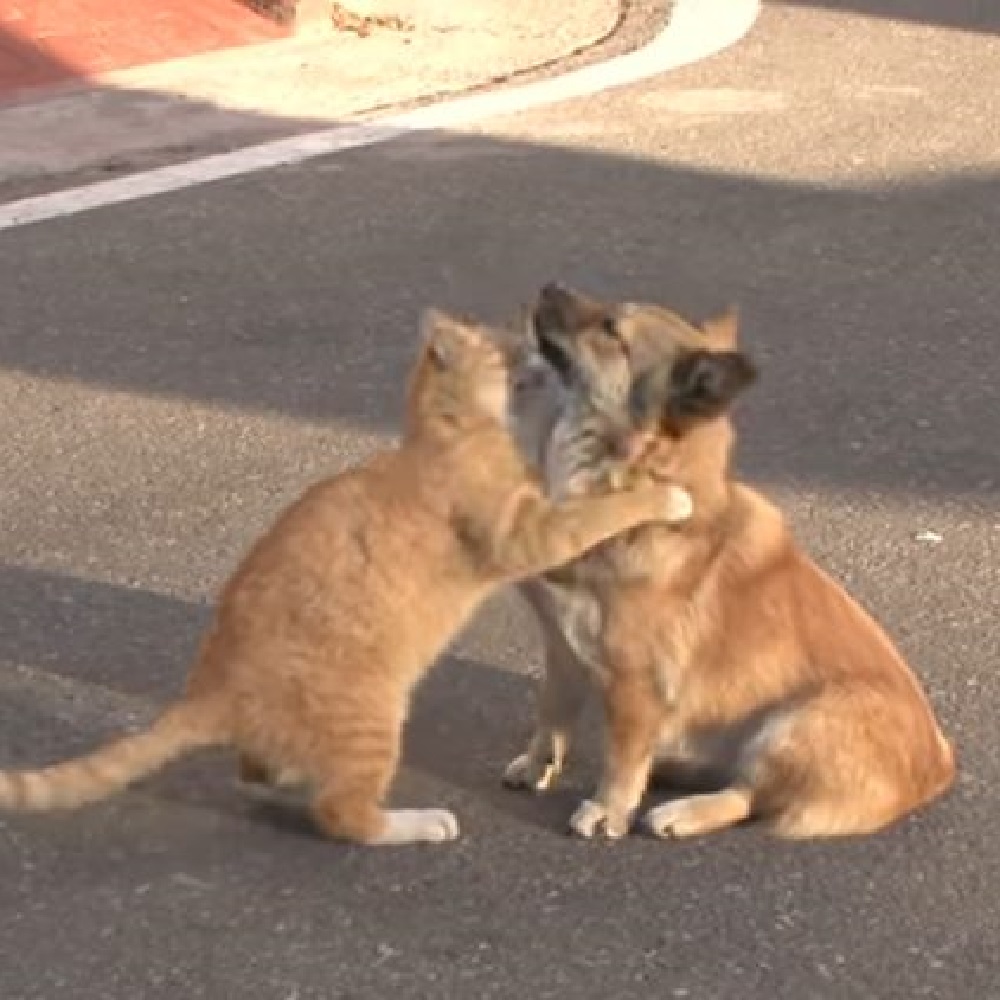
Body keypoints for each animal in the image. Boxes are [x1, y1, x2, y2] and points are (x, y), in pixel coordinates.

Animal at [0, 308, 692, 848]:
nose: (535, 348)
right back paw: (419, 823)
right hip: (375, 718)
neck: (446, 433)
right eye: (503, 348)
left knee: (263, 778)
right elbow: (598, 510)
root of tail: (209, 690)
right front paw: (662, 493)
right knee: (342, 814)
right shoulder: (529, 534)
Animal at [508, 286, 952, 840]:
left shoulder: (635, 682)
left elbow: (622, 759)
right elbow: (551, 718)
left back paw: (682, 811)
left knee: (750, 795)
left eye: (611, 329)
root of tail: (939, 766)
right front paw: (535, 766)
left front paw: (608, 810)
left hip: (793, 725)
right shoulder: (562, 650)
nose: (548, 287)